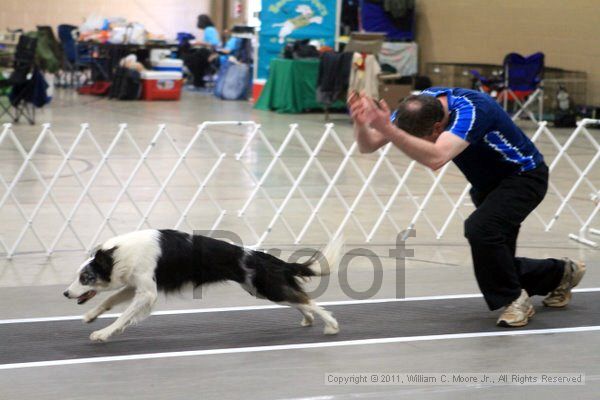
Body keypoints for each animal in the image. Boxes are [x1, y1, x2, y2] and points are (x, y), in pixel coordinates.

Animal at [65, 230, 342, 342]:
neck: (118, 255)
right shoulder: (137, 286)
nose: (66, 293)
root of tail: (265, 257)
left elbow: (123, 316)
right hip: (261, 289)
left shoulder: (147, 293)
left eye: (85, 277)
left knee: (307, 300)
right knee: (298, 299)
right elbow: (108, 300)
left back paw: (331, 325)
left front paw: (103, 333)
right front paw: (91, 316)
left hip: (265, 287)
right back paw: (308, 319)